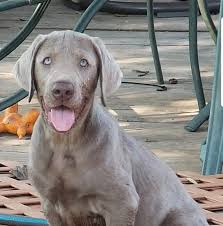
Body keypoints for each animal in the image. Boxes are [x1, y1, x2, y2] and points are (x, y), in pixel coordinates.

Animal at [12, 30, 209, 226]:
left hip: (180, 219)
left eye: (83, 62)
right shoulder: (51, 205)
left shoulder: (122, 202)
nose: (62, 89)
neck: (65, 142)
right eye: (46, 60)